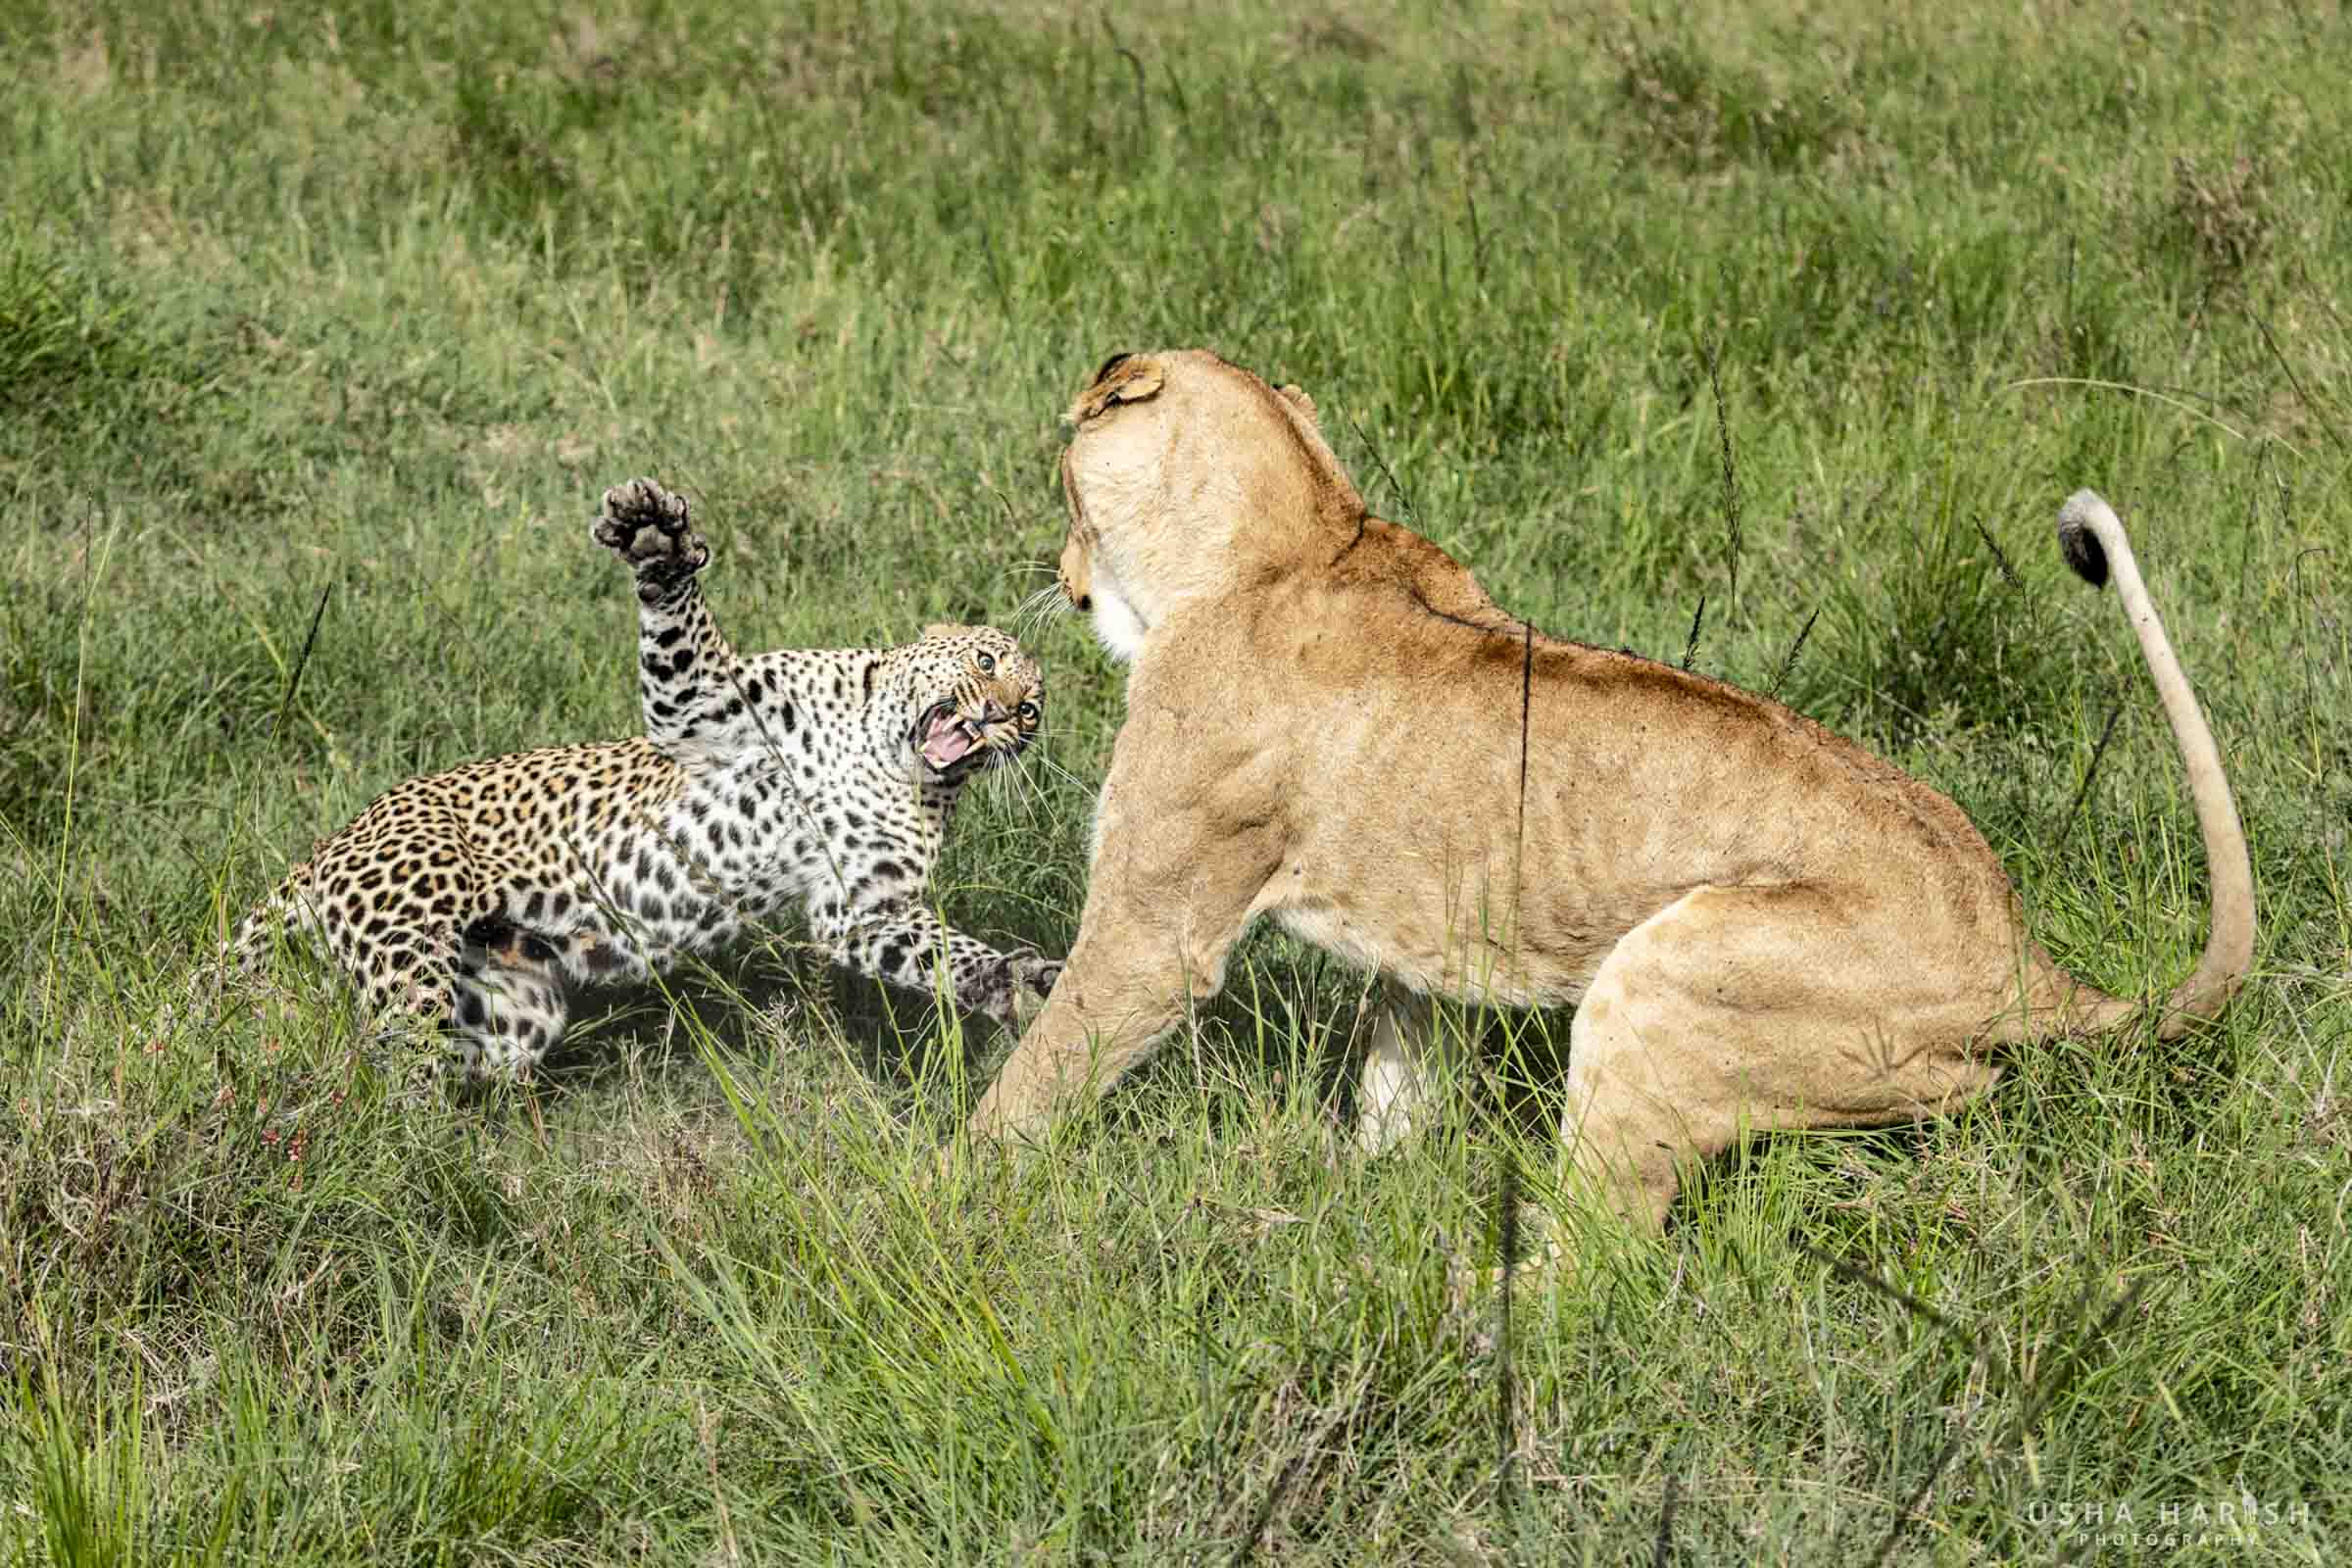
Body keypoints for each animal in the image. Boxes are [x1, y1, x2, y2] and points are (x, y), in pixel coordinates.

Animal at [222, 477, 1059, 1082]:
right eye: (986, 660)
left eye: (1031, 713)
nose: (1001, 715)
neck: (881, 759)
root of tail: (339, 837)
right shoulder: (708, 706)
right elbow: (682, 629)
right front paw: (657, 539)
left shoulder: (860, 907)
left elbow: (941, 951)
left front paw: (1012, 981)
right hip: (410, 948)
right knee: (386, 1065)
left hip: (510, 1004)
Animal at [955, 348, 2255, 1245]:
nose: (1059, 575)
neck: (1308, 532)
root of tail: (2020, 957)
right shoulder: (1431, 944)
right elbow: (1397, 1084)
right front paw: (1360, 1190)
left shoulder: (1158, 927)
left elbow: (1038, 1077)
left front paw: (941, 1197)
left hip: (1669, 971)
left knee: (1608, 1253)